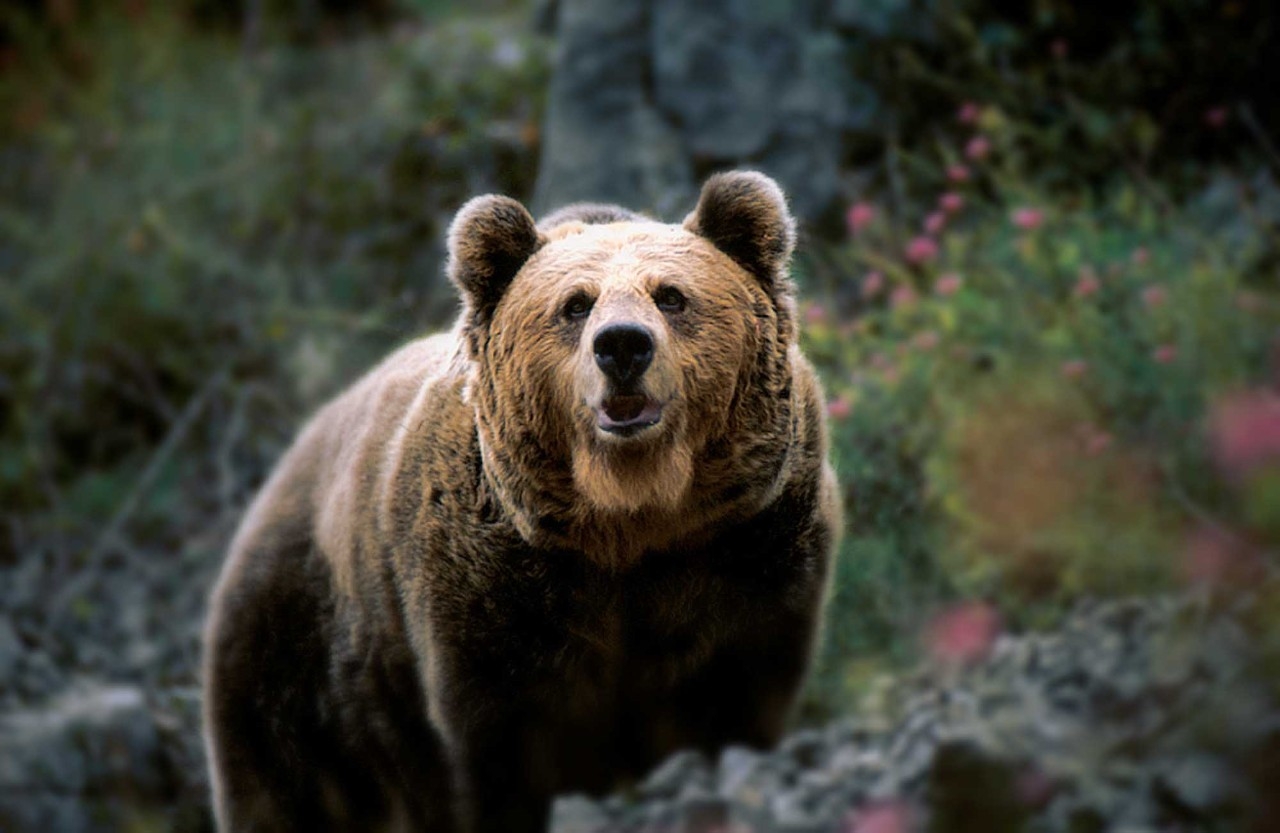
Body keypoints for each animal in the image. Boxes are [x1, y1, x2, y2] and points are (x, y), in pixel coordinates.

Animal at [202, 171, 840, 833]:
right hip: (297, 658)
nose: (622, 346)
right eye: (576, 304)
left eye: (671, 295)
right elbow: (495, 747)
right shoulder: (490, 592)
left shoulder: (746, 546)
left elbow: (739, 690)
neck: (630, 518)